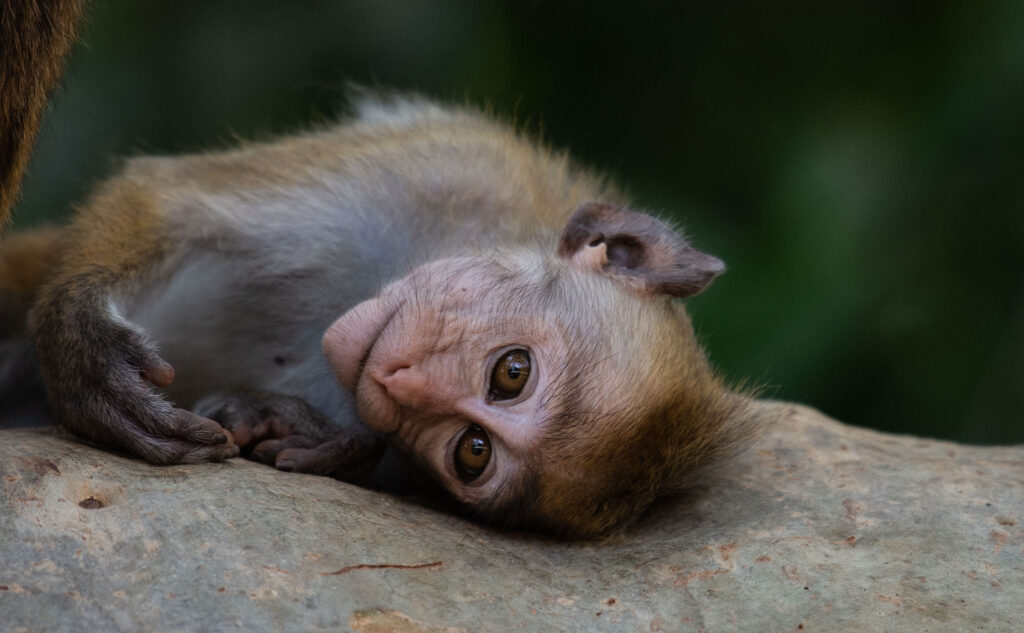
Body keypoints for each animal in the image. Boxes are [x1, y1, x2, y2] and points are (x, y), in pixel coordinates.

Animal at [2, 6, 761, 536]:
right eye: (513, 372)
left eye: (472, 452)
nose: (402, 382)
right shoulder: (450, 171)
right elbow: (163, 196)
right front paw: (84, 351)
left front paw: (302, 430)